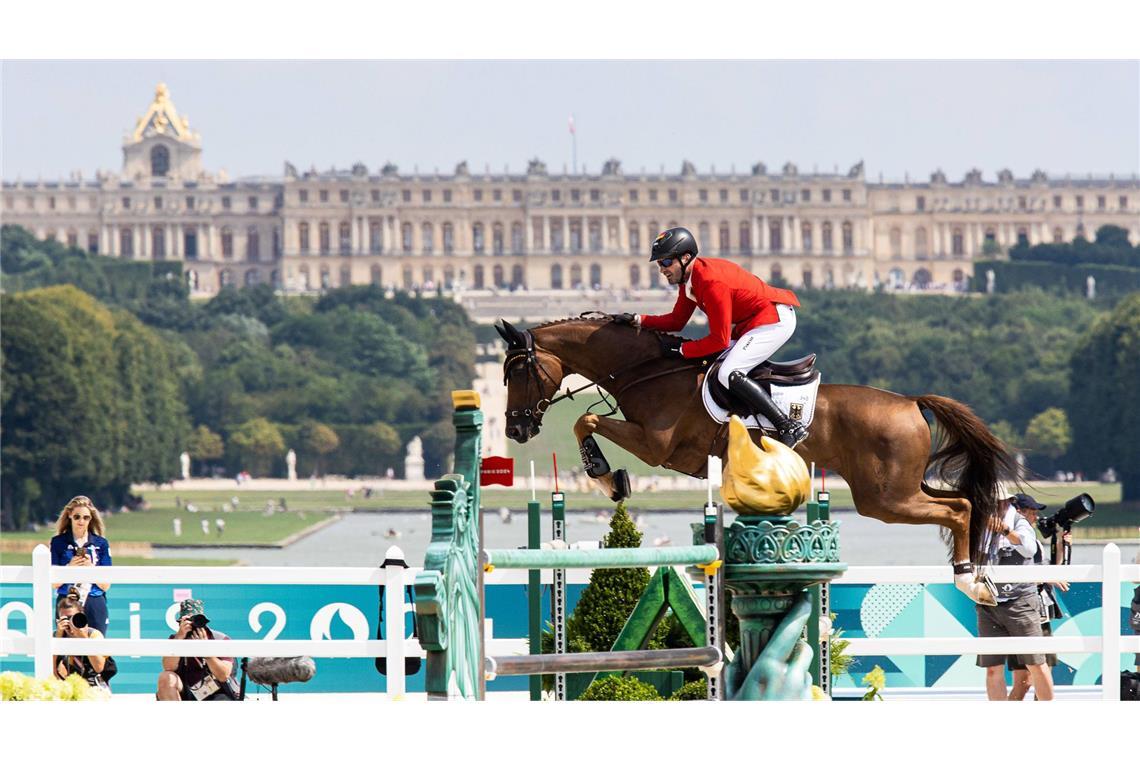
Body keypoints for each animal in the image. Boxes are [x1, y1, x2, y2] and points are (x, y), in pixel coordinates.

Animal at [494, 316, 1021, 606]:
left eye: (517, 371)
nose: (515, 431)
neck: (646, 370)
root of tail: (910, 401)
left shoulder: (655, 446)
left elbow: (585, 420)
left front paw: (608, 479)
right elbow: (586, 421)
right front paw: (611, 479)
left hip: (886, 498)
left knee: (959, 509)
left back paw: (969, 580)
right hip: (899, 489)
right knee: (966, 503)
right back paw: (979, 573)